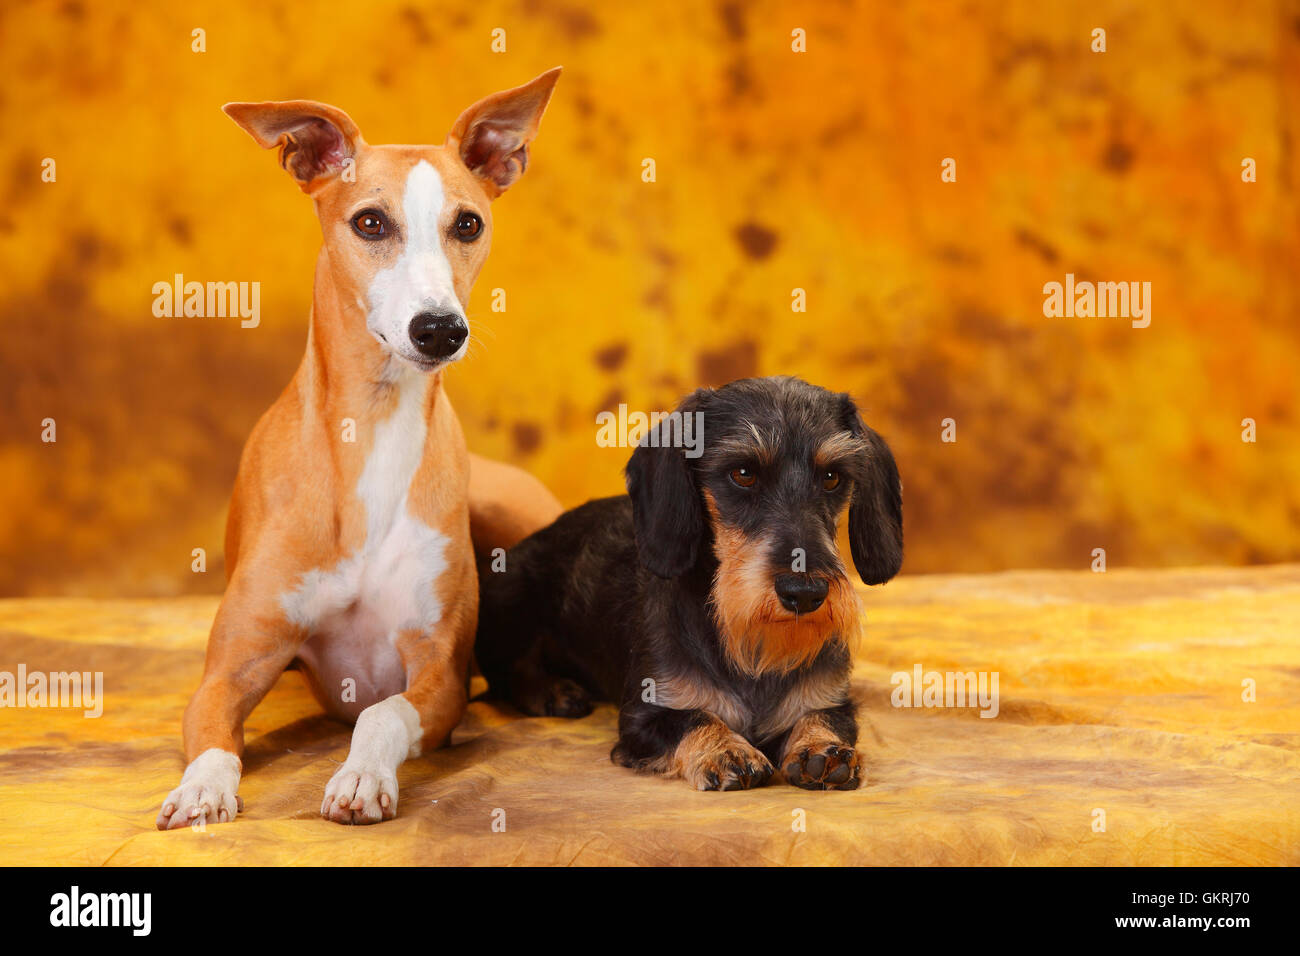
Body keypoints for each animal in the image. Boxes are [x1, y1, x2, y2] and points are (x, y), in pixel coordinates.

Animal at [154, 69, 561, 832]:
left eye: (468, 224)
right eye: (370, 222)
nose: (440, 329)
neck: (371, 429)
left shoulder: (436, 674)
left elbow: (381, 713)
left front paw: (362, 777)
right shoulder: (231, 668)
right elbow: (215, 731)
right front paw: (201, 789)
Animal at [475, 377, 904, 790]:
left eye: (832, 477)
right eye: (743, 473)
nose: (805, 594)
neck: (751, 645)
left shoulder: (832, 700)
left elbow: (821, 718)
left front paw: (821, 748)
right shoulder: (646, 714)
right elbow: (694, 718)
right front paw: (726, 749)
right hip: (510, 597)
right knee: (505, 672)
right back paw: (553, 691)